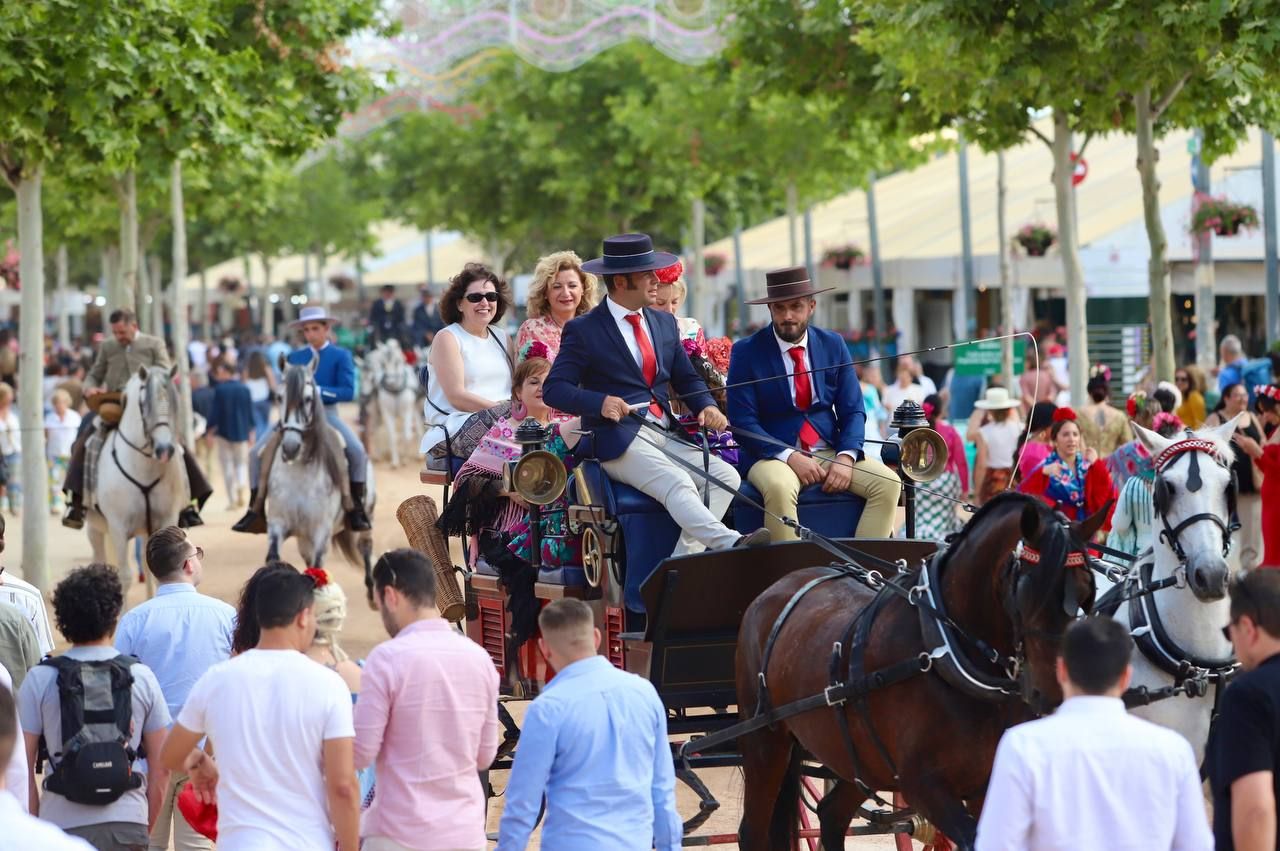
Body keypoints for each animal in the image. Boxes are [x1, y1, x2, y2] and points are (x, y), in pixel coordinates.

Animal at [88, 360, 188, 593]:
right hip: (95, 528)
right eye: (144, 404)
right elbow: (124, 576)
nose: (165, 450)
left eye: (172, 402)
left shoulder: (166, 519)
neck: (143, 467)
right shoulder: (118, 527)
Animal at [264, 355, 373, 601]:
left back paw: (373, 592)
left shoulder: (321, 531)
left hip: (366, 518)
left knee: (365, 547)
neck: (299, 473)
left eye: (307, 399)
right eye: (278, 397)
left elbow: (317, 569)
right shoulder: (278, 524)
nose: (290, 448)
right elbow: (274, 558)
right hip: (303, 537)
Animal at [363, 340, 417, 470]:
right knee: (374, 430)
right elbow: (392, 436)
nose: (390, 382)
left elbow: (407, 435)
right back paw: (379, 455)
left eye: (398, 362)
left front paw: (405, 459)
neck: (395, 389)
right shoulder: (388, 413)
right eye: (383, 363)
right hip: (375, 412)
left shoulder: (407, 411)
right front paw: (395, 462)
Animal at [737, 491, 1105, 849]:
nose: (1054, 695)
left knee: (831, 815)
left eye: (1087, 590)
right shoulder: (924, 785)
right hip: (765, 742)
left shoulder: (988, 783)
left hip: (862, 760)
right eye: (1028, 591)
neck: (947, 654)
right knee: (752, 831)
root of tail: (779, 586)